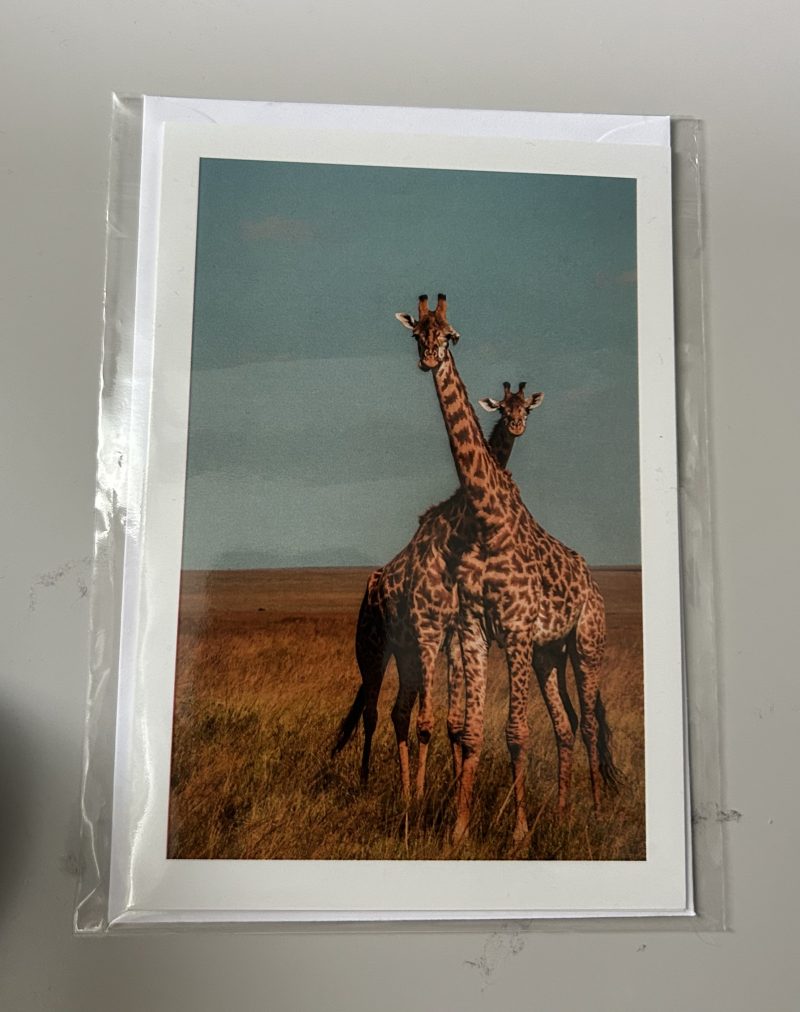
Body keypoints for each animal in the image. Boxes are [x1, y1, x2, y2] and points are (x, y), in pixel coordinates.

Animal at [332, 380, 545, 800]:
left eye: (526, 408)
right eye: (503, 408)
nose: (516, 425)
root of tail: (373, 583)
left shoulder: (452, 636)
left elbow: (454, 722)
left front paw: (448, 787)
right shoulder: (433, 634)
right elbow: (429, 722)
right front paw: (423, 793)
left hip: (404, 652)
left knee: (397, 710)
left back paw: (401, 786)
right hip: (373, 646)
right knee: (372, 710)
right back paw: (369, 783)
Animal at [397, 294, 619, 844]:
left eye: (451, 335)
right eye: (416, 333)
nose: (428, 359)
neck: (484, 520)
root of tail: (592, 581)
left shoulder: (515, 630)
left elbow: (515, 734)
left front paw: (517, 831)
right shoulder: (473, 628)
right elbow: (471, 731)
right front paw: (458, 828)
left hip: (585, 643)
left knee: (586, 723)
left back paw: (592, 810)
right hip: (547, 654)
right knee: (564, 724)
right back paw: (559, 812)